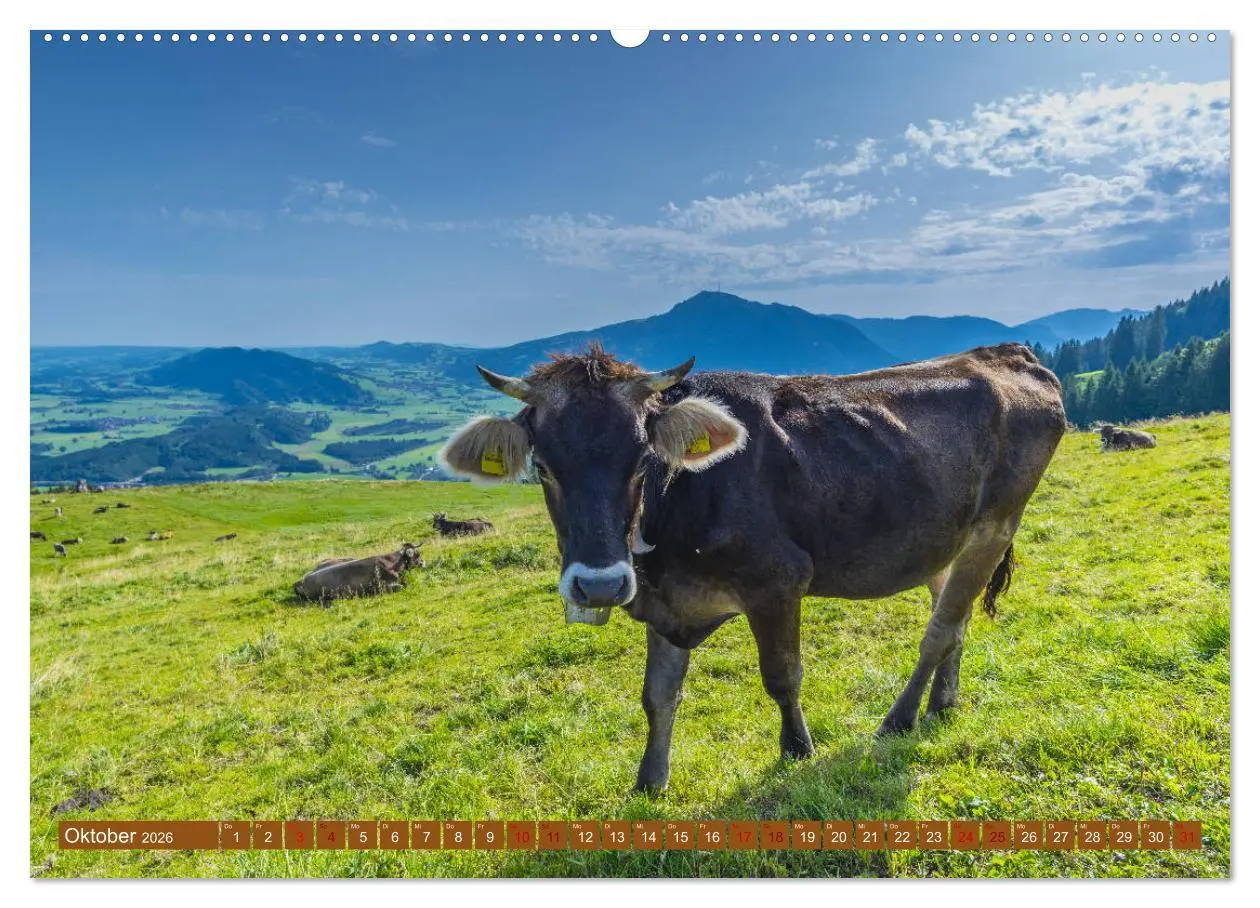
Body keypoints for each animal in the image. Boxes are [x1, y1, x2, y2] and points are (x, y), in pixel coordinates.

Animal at [440, 341, 1066, 792]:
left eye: (642, 459)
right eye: (542, 467)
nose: (599, 586)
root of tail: (1005, 352)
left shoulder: (777, 581)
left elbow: (782, 675)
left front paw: (797, 750)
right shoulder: (666, 599)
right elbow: (658, 695)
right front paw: (650, 781)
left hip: (996, 524)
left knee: (938, 631)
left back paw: (901, 718)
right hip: (947, 538)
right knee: (954, 619)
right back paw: (942, 704)